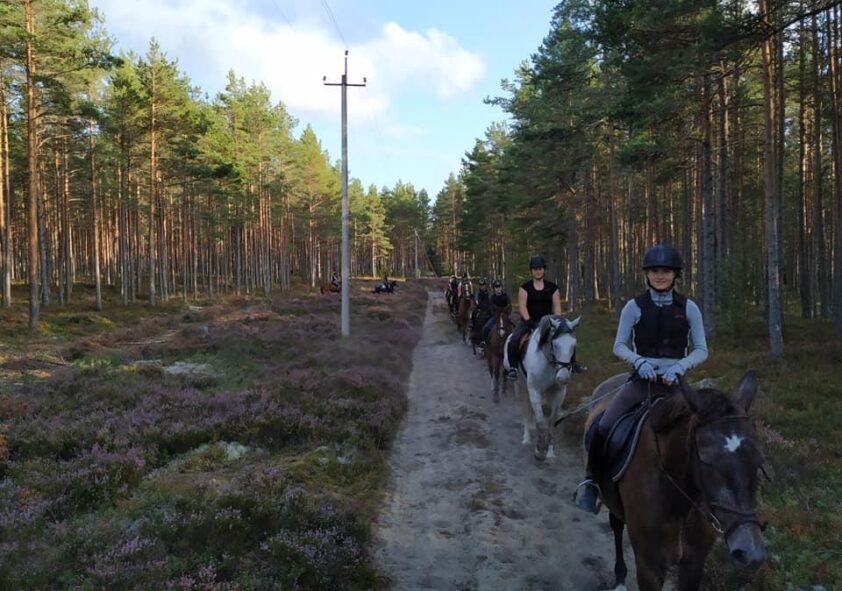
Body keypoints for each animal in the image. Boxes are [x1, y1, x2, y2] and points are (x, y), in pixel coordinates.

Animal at [514, 314, 581, 461]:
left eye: (574, 345)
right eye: (555, 344)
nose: (563, 377)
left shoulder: (559, 393)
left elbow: (551, 421)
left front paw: (550, 450)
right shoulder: (534, 391)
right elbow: (541, 422)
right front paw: (539, 450)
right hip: (520, 385)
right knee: (524, 408)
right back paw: (526, 438)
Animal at [584, 371, 767, 591]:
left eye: (759, 459)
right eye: (706, 460)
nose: (750, 552)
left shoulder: (694, 563)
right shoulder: (648, 568)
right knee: (616, 526)